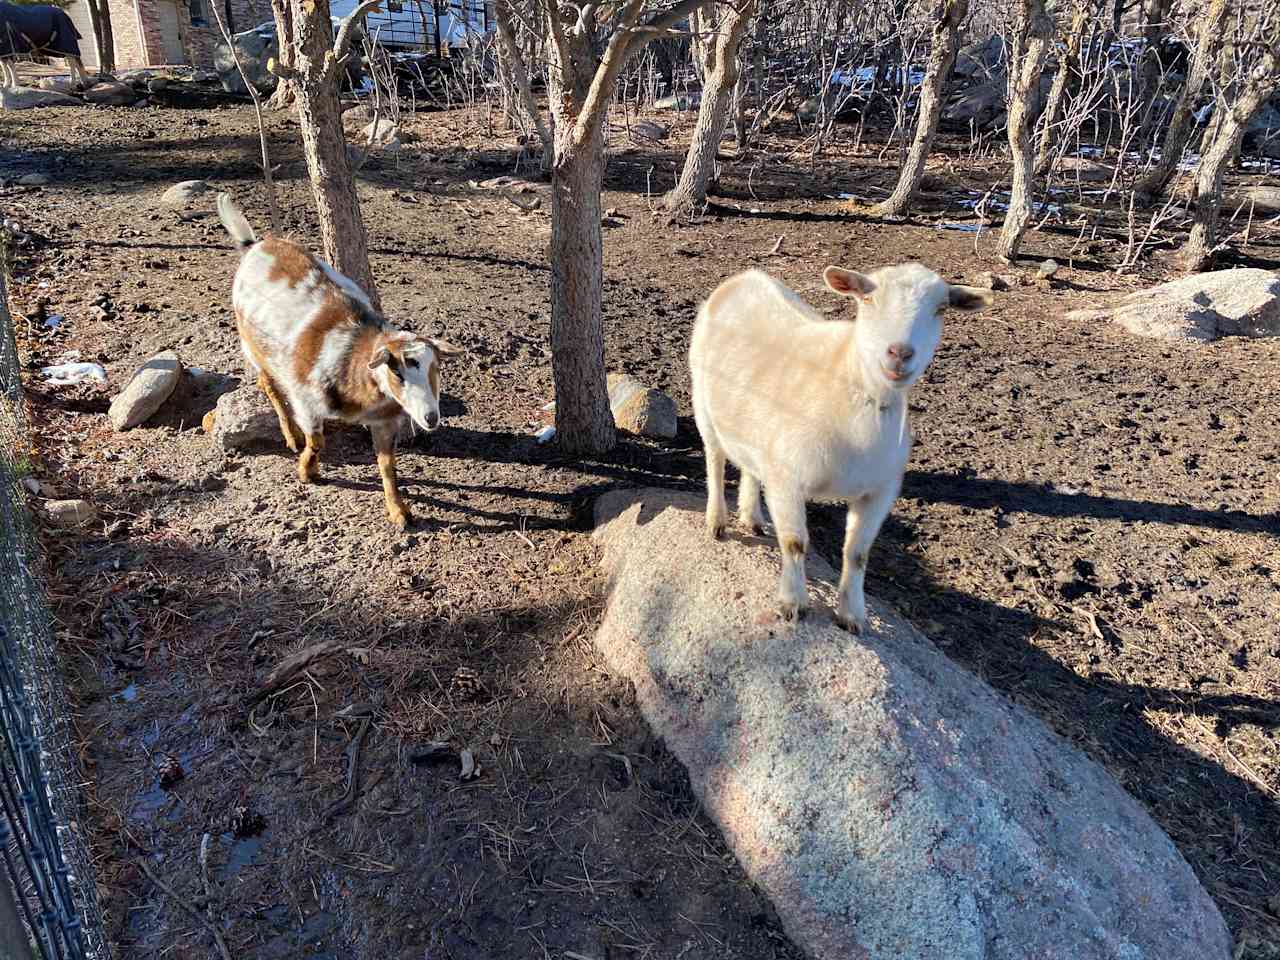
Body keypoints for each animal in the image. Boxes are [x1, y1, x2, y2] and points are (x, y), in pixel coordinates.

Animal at [217, 190, 463, 529]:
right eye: (397, 373)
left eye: (436, 369)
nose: (430, 418)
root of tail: (255, 245)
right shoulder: (306, 401)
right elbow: (317, 441)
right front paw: (307, 471)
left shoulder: (385, 422)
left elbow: (388, 465)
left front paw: (399, 512)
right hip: (252, 344)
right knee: (267, 384)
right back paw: (291, 437)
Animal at [691, 263, 988, 632]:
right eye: (867, 298)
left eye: (942, 308)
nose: (900, 353)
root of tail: (745, 276)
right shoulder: (786, 477)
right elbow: (794, 543)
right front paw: (793, 604)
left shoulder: (880, 490)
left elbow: (857, 554)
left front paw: (852, 615)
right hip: (702, 401)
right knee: (715, 459)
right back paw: (717, 521)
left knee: (749, 465)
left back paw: (752, 517)